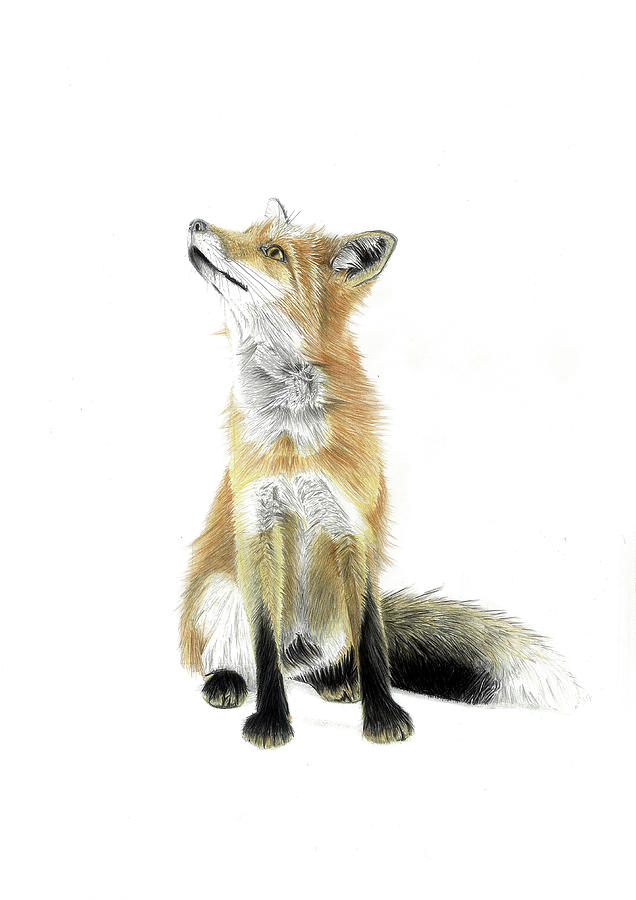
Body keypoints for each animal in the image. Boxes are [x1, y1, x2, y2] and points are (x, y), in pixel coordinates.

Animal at [180, 198, 582, 749]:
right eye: (245, 230)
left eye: (273, 251)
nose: (195, 222)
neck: (294, 436)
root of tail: (300, 646)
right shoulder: (257, 526)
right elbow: (263, 643)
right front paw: (272, 721)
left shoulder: (353, 527)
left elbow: (372, 639)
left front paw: (383, 717)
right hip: (218, 595)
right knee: (249, 658)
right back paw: (227, 682)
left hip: (329, 616)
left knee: (322, 660)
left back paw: (337, 681)